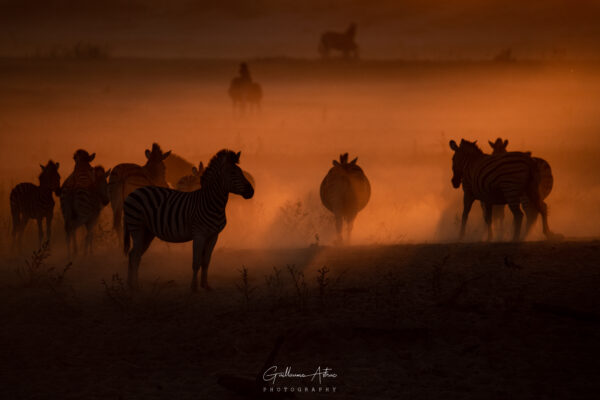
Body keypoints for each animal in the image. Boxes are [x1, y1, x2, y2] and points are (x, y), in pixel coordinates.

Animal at [123, 149, 254, 290]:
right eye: (233, 173)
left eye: (241, 172)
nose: (251, 191)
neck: (211, 203)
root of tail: (134, 192)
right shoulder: (199, 234)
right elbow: (196, 262)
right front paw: (194, 288)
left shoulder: (213, 236)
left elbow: (206, 261)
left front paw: (205, 286)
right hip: (137, 227)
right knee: (135, 255)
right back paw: (134, 286)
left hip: (148, 232)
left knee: (134, 255)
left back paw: (131, 285)